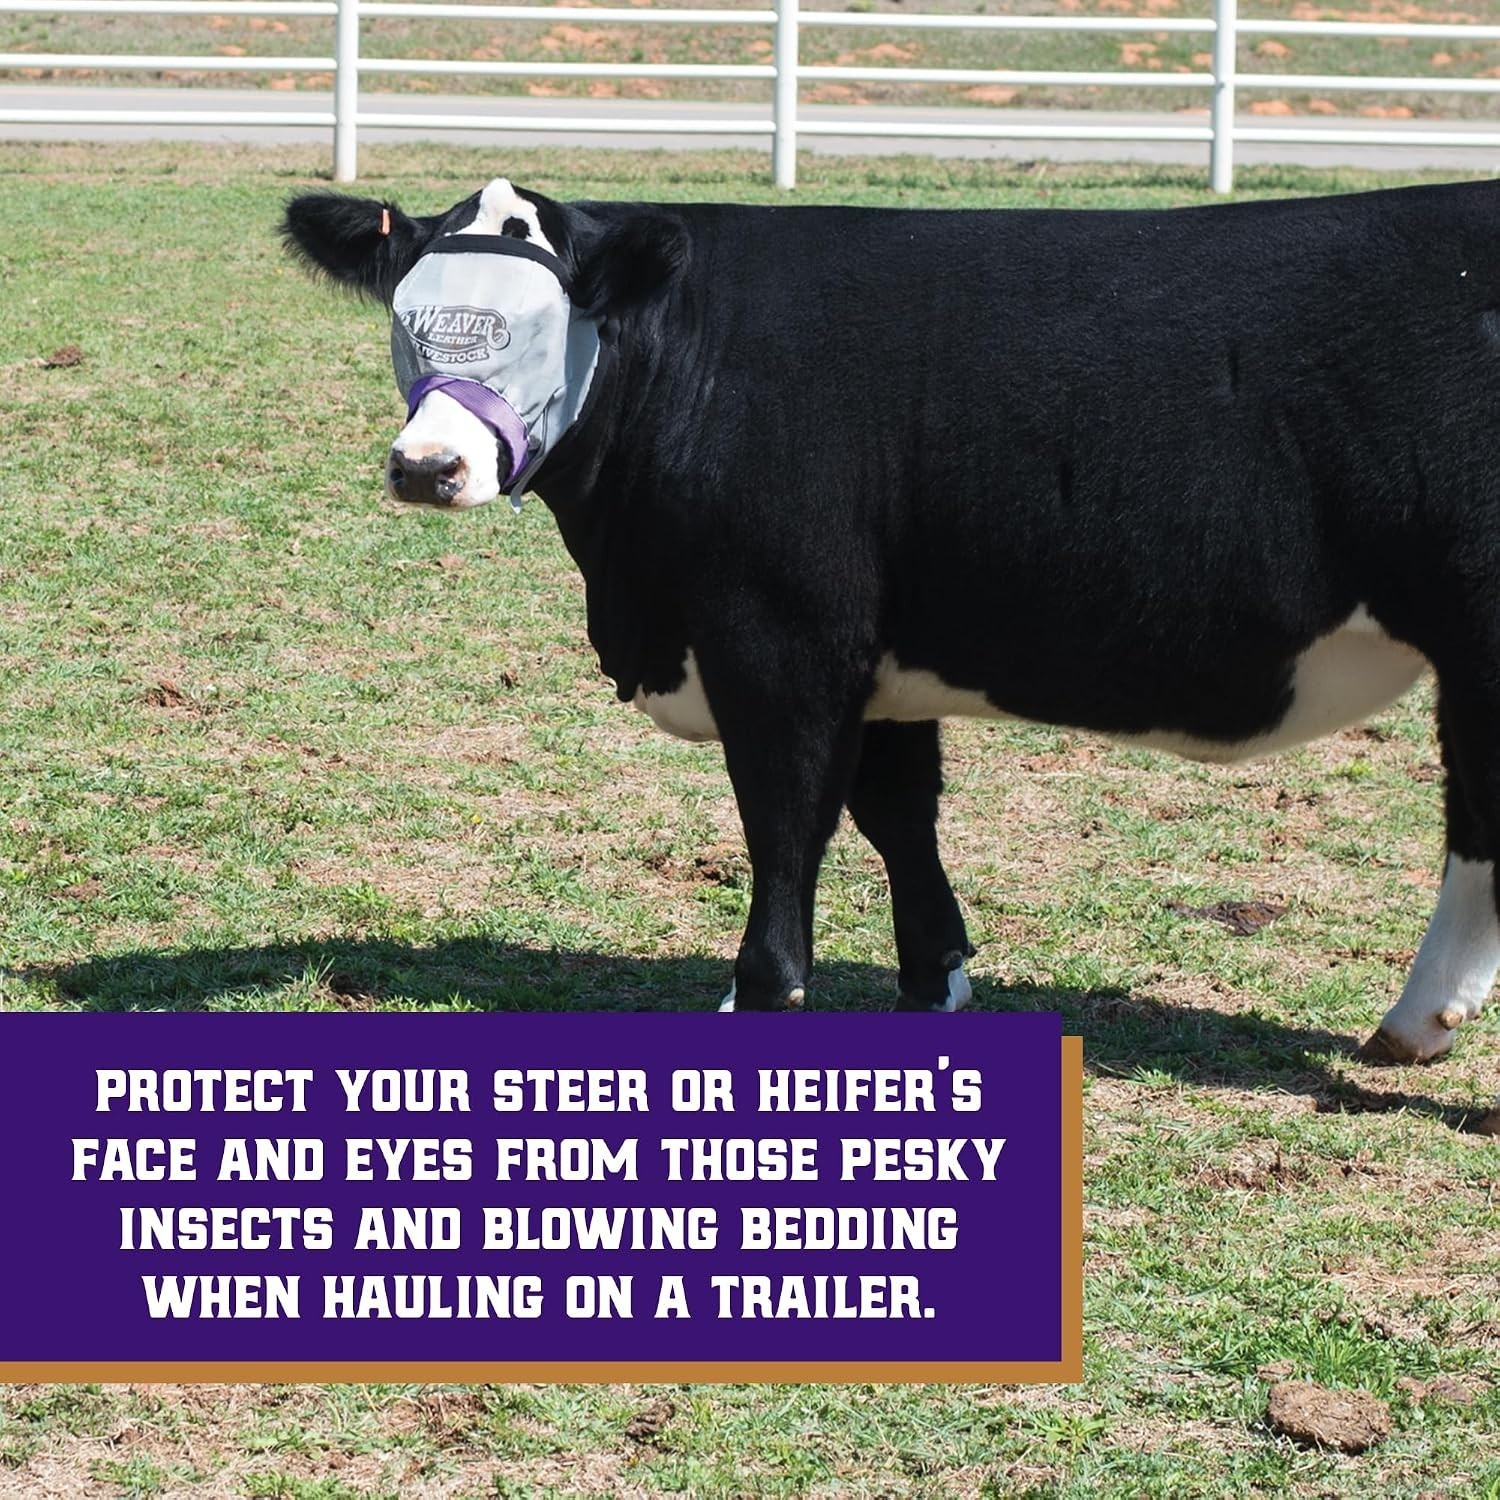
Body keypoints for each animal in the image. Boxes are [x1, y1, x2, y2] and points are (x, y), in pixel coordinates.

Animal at [283, 175, 1500, 1128]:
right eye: (409, 319)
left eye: (544, 327)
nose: (427, 467)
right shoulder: (874, 658)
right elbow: (896, 810)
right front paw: (936, 982)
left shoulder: (777, 635)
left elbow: (787, 822)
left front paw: (761, 995)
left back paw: (1415, 1024)